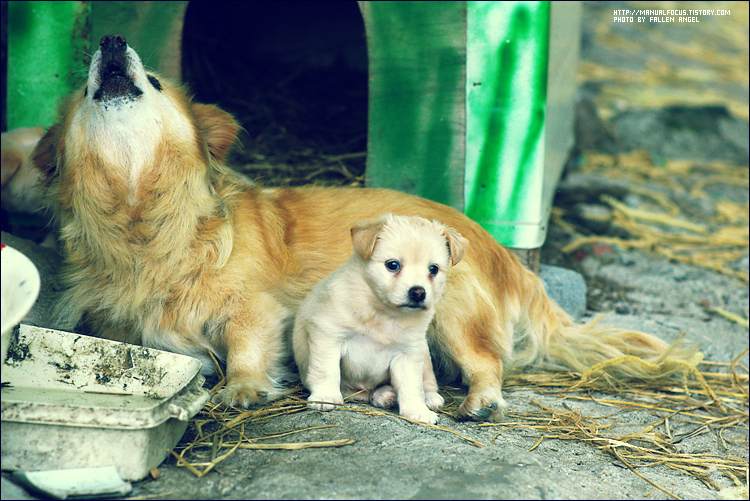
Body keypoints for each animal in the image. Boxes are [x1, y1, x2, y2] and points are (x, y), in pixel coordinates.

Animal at [292, 212, 464, 422]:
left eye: (434, 269)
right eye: (393, 265)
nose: (418, 293)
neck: (384, 313)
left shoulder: (408, 353)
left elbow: (412, 387)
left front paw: (417, 410)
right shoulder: (328, 336)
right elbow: (326, 371)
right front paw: (325, 396)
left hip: (424, 354)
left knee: (427, 382)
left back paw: (425, 398)